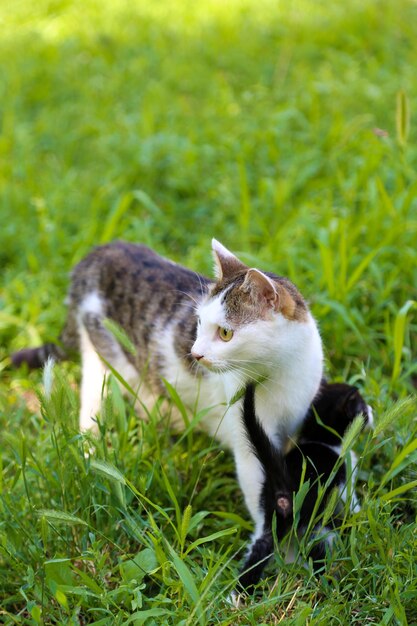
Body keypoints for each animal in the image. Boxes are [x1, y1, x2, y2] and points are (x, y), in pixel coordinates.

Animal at [10, 239, 322, 532]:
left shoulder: (291, 427)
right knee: (91, 404)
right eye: (198, 322)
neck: (282, 373)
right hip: (97, 355)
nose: (194, 353)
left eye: (225, 333)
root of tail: (102, 251)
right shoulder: (249, 445)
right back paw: (92, 453)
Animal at [236, 378, 372, 592]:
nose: (372, 410)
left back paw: (237, 595)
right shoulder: (342, 481)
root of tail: (283, 483)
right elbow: (351, 504)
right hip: (316, 526)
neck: (320, 439)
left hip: (272, 521)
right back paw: (327, 581)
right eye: (363, 408)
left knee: (260, 550)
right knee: (320, 548)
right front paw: (360, 519)